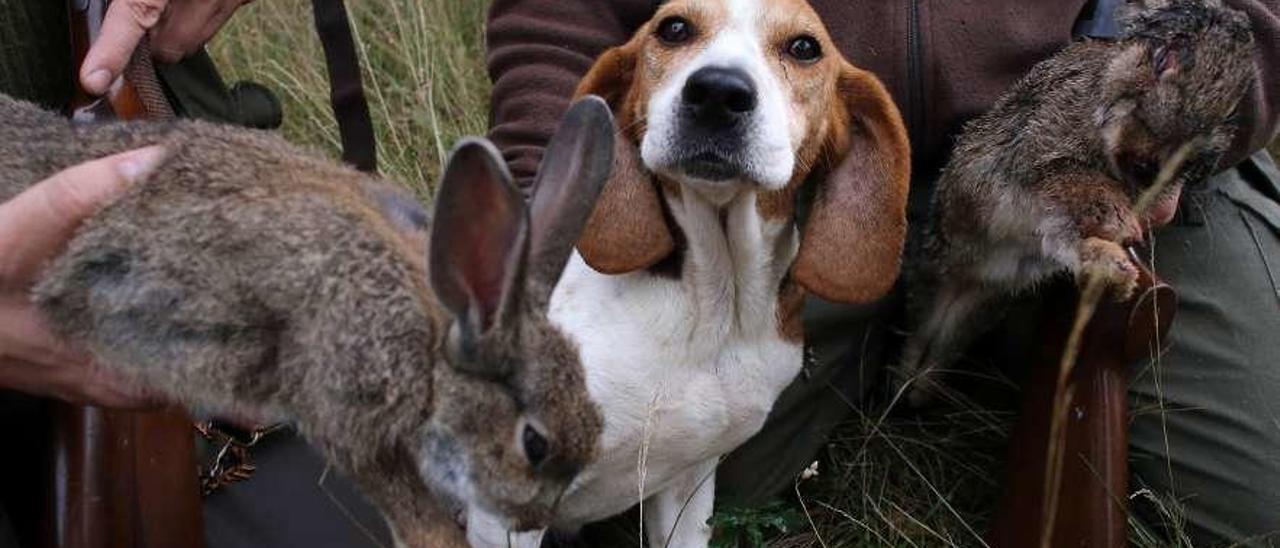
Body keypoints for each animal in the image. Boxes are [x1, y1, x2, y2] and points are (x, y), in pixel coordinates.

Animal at [471, 1, 911, 548]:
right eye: (674, 28)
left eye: (805, 47)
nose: (719, 92)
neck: (712, 301)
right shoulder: (505, 506)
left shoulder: (688, 480)